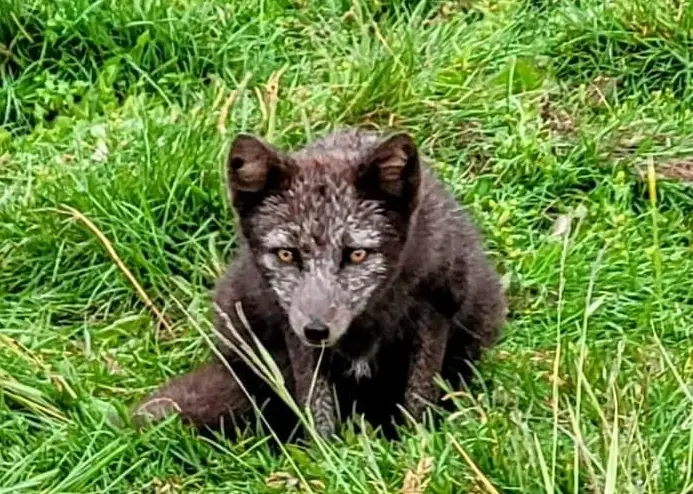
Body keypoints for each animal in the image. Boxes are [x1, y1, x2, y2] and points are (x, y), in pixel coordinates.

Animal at [133, 128, 506, 440]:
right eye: (286, 254)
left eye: (356, 254)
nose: (316, 330)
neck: (365, 325)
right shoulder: (292, 327)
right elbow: (316, 405)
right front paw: (326, 460)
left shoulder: (435, 307)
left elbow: (418, 393)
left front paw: (415, 447)